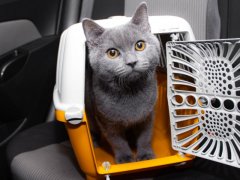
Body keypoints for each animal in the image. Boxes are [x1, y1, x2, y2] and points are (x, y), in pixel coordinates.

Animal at [82, 2, 159, 163]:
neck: (131, 91)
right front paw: (125, 158)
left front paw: (145, 155)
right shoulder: (106, 121)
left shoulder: (148, 115)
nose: (132, 62)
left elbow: (145, 136)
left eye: (140, 45)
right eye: (112, 53)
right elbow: (117, 141)